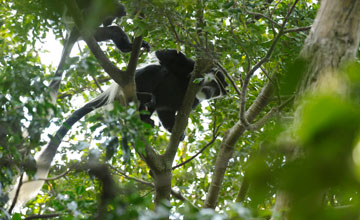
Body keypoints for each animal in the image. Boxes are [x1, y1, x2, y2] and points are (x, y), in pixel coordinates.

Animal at [8, 48, 226, 208]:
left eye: (217, 92)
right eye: (216, 85)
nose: (211, 93)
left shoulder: (192, 102)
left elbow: (168, 112)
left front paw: (177, 132)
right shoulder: (188, 67)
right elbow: (167, 56)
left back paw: (145, 118)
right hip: (133, 83)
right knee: (157, 72)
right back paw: (143, 97)